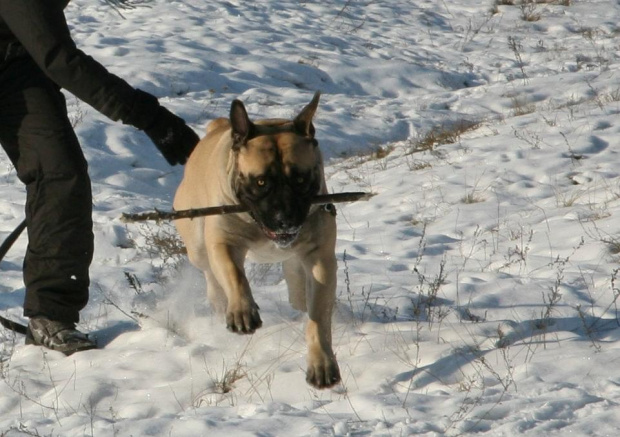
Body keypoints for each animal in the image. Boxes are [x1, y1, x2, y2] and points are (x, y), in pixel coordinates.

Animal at [172, 92, 342, 388]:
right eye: (261, 182)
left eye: (300, 179)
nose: (285, 218)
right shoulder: (224, 242)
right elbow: (234, 274)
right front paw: (242, 311)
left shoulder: (320, 258)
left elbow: (318, 317)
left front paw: (321, 363)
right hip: (198, 245)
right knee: (209, 273)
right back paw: (220, 302)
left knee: (298, 288)